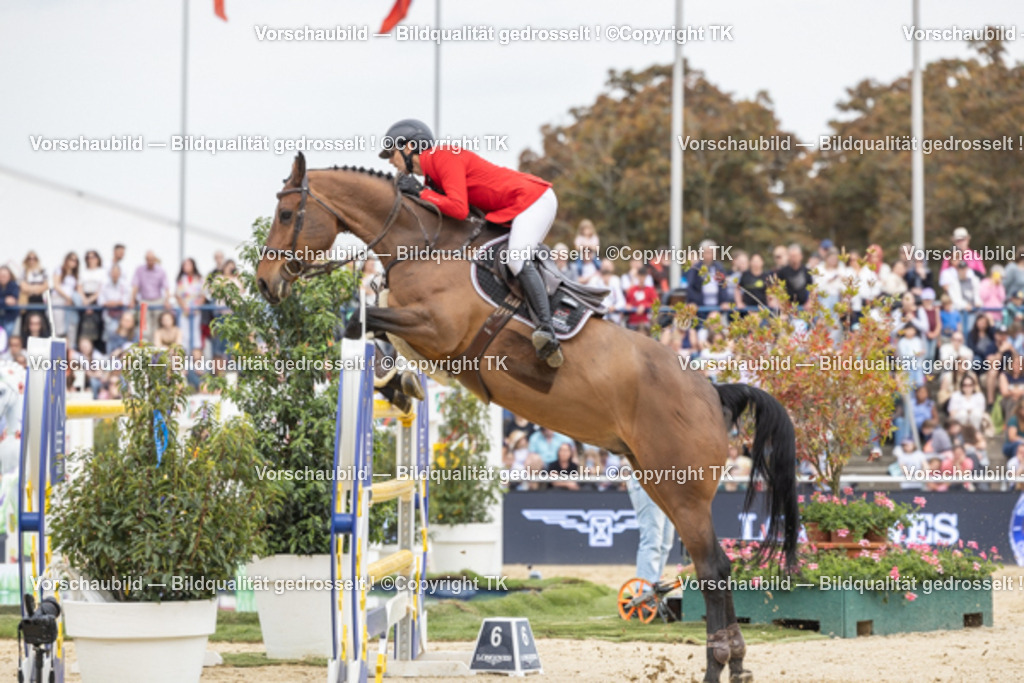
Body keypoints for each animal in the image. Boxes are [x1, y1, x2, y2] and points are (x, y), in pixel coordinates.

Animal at [256, 152, 798, 683]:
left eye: (286, 214)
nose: (265, 283)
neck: (422, 245)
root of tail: (713, 391)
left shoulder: (436, 329)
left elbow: (359, 320)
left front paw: (393, 380)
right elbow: (376, 327)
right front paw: (399, 385)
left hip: (682, 489)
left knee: (712, 567)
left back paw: (717, 665)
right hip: (658, 480)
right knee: (716, 565)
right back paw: (737, 663)